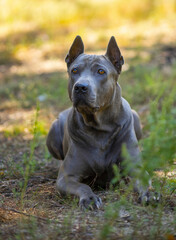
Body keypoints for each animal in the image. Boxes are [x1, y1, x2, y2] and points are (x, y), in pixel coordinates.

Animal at [46, 36, 160, 210]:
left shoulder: (136, 168)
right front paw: (89, 198)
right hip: (53, 131)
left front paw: (149, 194)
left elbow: (144, 182)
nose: (80, 87)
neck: (100, 127)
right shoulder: (66, 178)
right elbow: (82, 186)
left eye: (101, 71)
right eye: (74, 71)